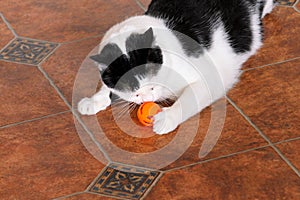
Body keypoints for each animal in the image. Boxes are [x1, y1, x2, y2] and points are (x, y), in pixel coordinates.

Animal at [78, 0, 274, 135]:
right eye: (135, 92)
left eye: (152, 85)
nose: (147, 98)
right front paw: (94, 100)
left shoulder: (211, 77)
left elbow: (189, 99)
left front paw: (167, 118)